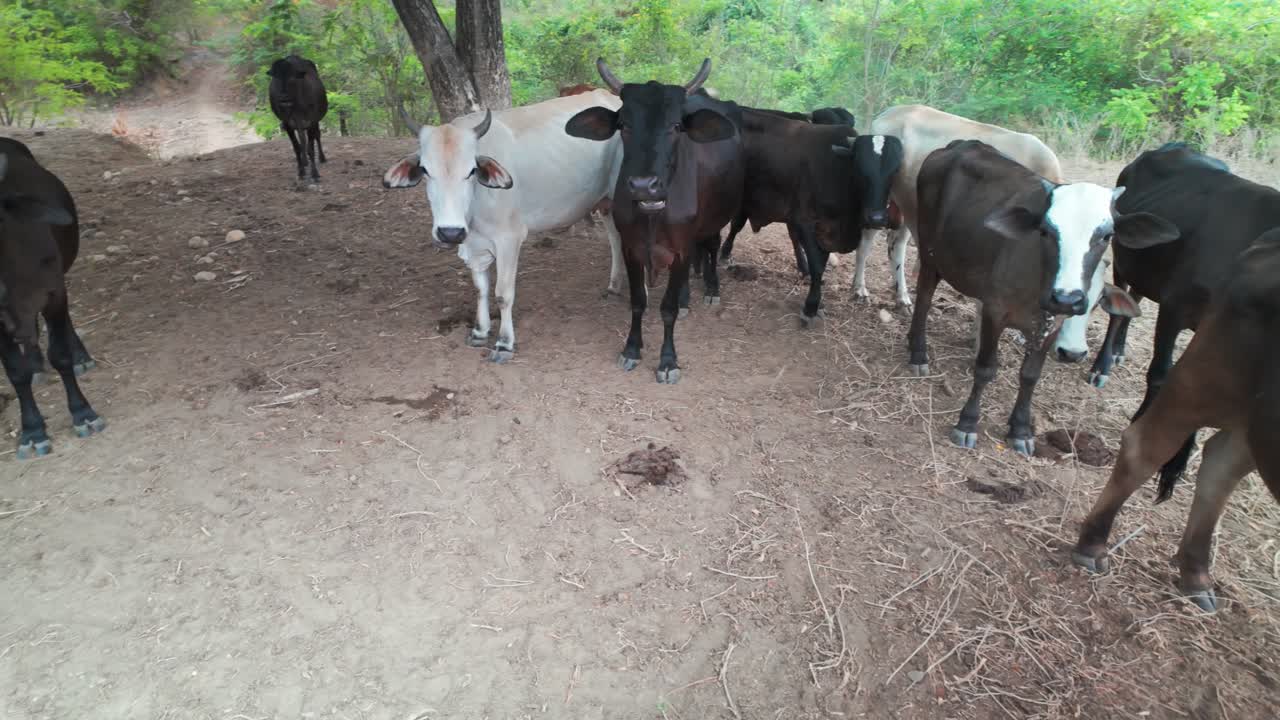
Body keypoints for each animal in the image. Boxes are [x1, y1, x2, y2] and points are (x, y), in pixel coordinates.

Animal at [0, 147, 105, 459]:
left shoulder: (54, 293)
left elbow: (60, 355)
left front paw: (83, 414)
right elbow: (15, 372)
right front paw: (33, 432)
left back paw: (81, 357)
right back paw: (35, 365)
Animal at [383, 91, 626, 363]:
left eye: (472, 170)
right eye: (425, 170)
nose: (450, 232)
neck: (475, 206)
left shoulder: (509, 238)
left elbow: (503, 293)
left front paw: (504, 343)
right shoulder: (473, 243)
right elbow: (481, 288)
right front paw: (480, 331)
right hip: (605, 202)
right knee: (615, 237)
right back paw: (614, 285)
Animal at [565, 58, 744, 383]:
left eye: (676, 126)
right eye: (624, 125)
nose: (644, 186)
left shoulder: (681, 250)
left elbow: (667, 308)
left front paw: (668, 361)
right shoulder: (630, 248)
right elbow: (638, 301)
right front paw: (632, 349)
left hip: (714, 220)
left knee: (711, 247)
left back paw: (711, 290)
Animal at [908, 140, 1178, 455]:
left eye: (1107, 235)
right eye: (1046, 230)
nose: (1066, 298)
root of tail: (961, 144)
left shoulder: (1052, 324)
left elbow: (1030, 375)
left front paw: (1021, 429)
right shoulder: (995, 311)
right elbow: (985, 369)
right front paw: (967, 423)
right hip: (930, 255)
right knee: (924, 300)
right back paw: (917, 351)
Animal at [1084, 143, 1280, 501]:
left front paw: (1176, 464)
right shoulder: (1175, 307)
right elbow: (1162, 374)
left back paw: (1118, 351)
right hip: (1124, 262)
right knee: (1120, 307)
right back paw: (1103, 363)